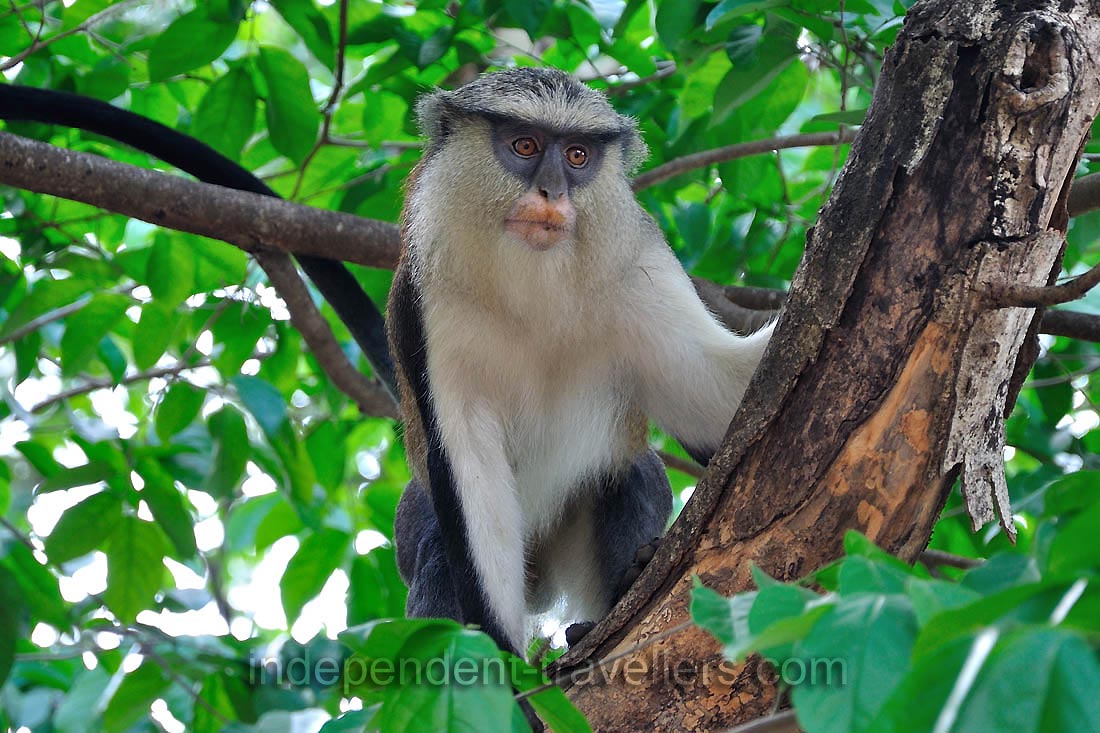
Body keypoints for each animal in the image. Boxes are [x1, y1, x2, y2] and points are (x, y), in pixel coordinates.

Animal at [389, 68, 774, 656]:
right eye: (525, 145)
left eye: (577, 155)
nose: (552, 191)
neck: (533, 288)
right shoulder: (424, 305)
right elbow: (469, 467)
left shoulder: (640, 267)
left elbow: (719, 399)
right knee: (435, 552)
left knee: (631, 474)